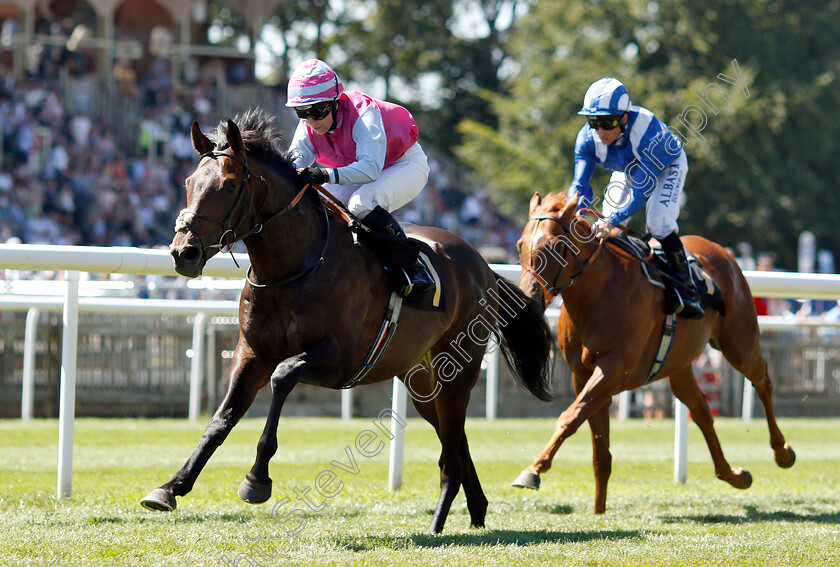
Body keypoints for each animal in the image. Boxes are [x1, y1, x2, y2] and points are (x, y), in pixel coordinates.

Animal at [140, 108, 556, 536]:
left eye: (228, 185)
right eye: (189, 182)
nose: (183, 253)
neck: (294, 266)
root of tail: (484, 267)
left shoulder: (341, 359)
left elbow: (283, 376)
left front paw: (256, 480)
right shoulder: (252, 351)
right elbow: (221, 419)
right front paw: (171, 487)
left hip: (459, 371)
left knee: (452, 451)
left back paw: (439, 523)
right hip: (422, 381)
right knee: (455, 441)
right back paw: (475, 510)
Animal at [512, 191, 796, 516]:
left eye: (557, 245)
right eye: (520, 244)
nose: (529, 299)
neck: (600, 293)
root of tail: (721, 251)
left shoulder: (614, 370)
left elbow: (570, 417)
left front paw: (533, 470)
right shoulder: (583, 375)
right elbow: (599, 447)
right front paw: (598, 509)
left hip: (739, 343)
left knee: (762, 381)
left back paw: (782, 451)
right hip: (680, 364)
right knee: (701, 410)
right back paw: (734, 474)